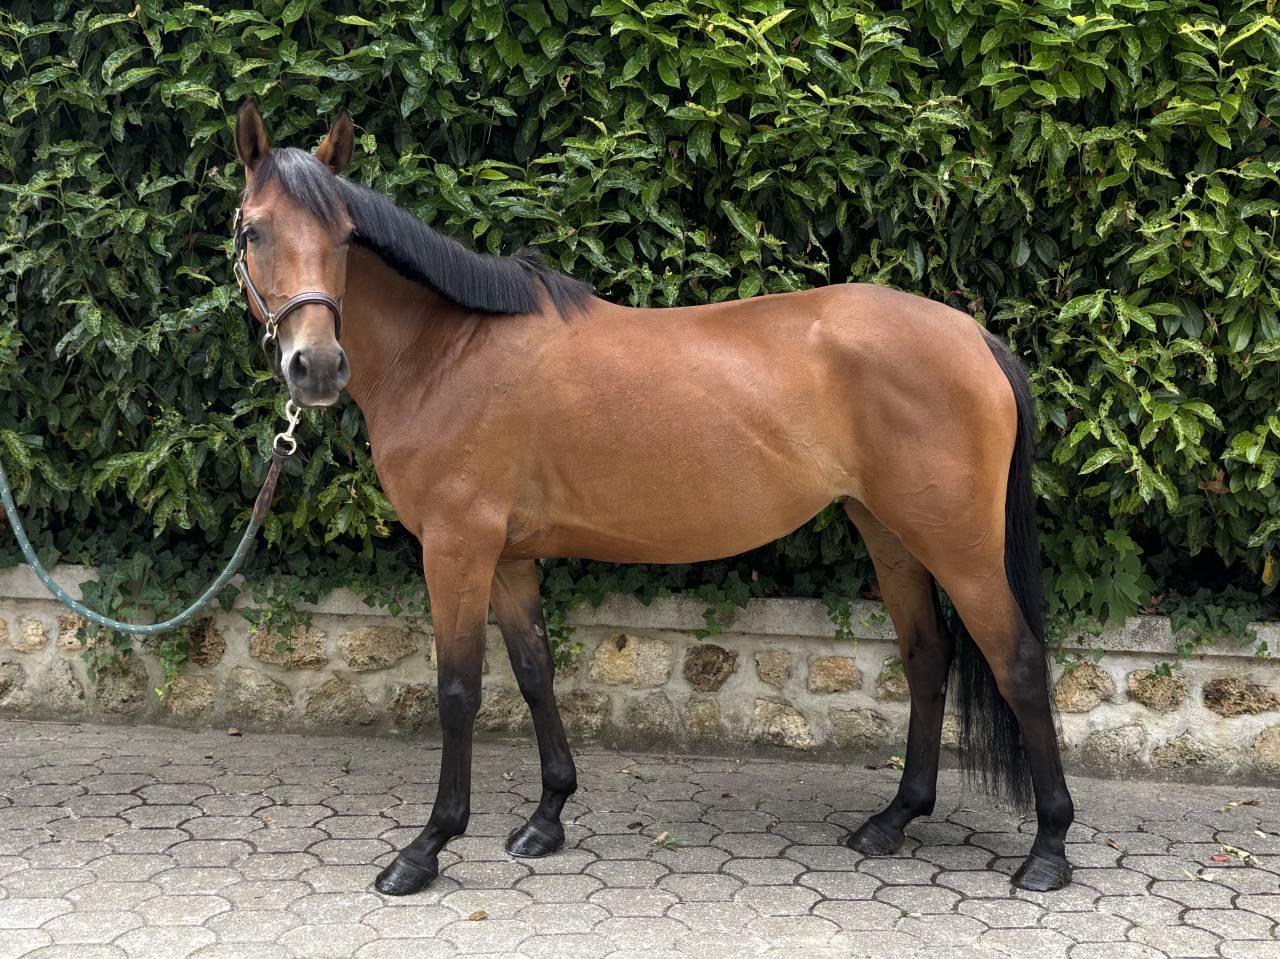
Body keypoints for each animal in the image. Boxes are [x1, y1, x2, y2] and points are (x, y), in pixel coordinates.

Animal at [229, 100, 1075, 897]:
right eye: (253, 231)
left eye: (344, 235)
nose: (316, 367)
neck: (447, 352)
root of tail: (975, 337)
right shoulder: (507, 557)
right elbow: (534, 671)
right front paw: (545, 818)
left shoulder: (456, 547)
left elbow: (458, 689)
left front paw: (425, 848)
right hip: (891, 533)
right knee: (928, 657)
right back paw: (894, 818)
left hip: (959, 544)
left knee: (1020, 662)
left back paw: (1048, 849)